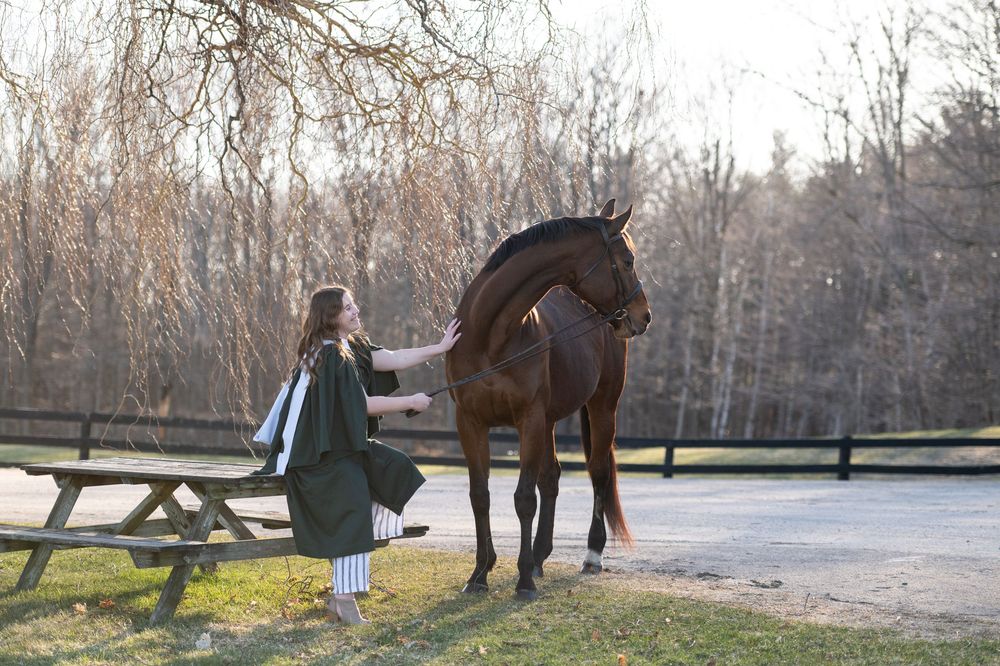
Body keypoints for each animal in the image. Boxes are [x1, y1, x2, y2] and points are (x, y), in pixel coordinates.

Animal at [445, 199, 651, 600]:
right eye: (628, 260)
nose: (643, 316)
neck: (491, 336)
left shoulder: (530, 420)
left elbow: (524, 499)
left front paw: (523, 581)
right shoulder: (470, 422)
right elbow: (480, 495)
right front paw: (480, 574)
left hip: (601, 408)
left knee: (598, 474)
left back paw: (591, 555)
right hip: (552, 420)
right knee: (552, 478)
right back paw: (540, 556)